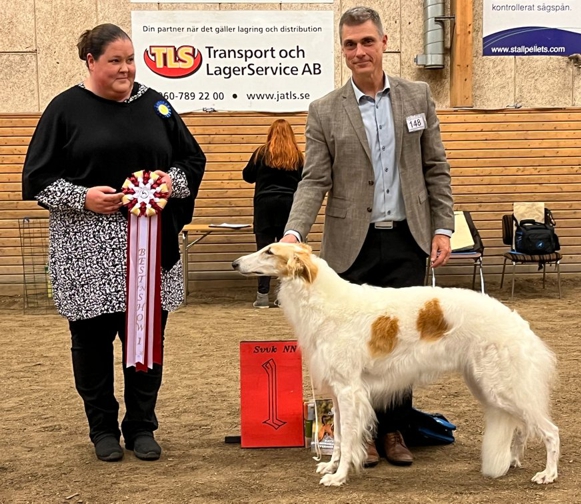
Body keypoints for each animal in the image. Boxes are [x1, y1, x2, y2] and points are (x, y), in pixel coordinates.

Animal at [230, 242, 556, 486]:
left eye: (269, 252)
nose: (234, 264)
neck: (326, 301)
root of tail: (516, 320)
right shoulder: (336, 390)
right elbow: (338, 436)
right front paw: (330, 466)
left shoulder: (349, 389)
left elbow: (348, 437)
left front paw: (339, 476)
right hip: (488, 386)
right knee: (521, 428)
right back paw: (513, 460)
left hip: (502, 386)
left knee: (550, 430)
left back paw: (548, 473)